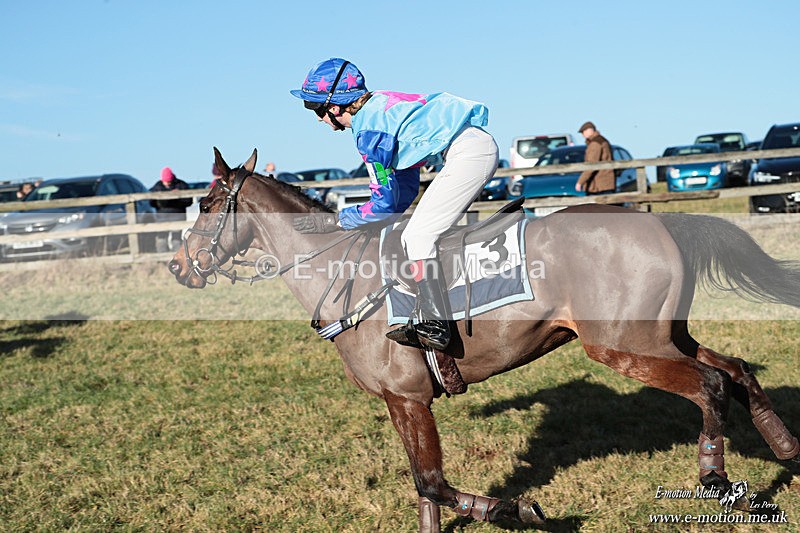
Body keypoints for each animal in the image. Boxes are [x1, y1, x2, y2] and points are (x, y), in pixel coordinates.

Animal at [169, 148, 800, 532]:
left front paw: (518, 507)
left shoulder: (410, 398)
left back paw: (714, 477)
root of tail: (659, 220)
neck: (343, 273)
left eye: (207, 205)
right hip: (663, 337)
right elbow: (425, 488)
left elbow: (432, 482)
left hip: (623, 347)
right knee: (735, 367)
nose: (178, 266)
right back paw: (786, 449)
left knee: (711, 383)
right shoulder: (401, 401)